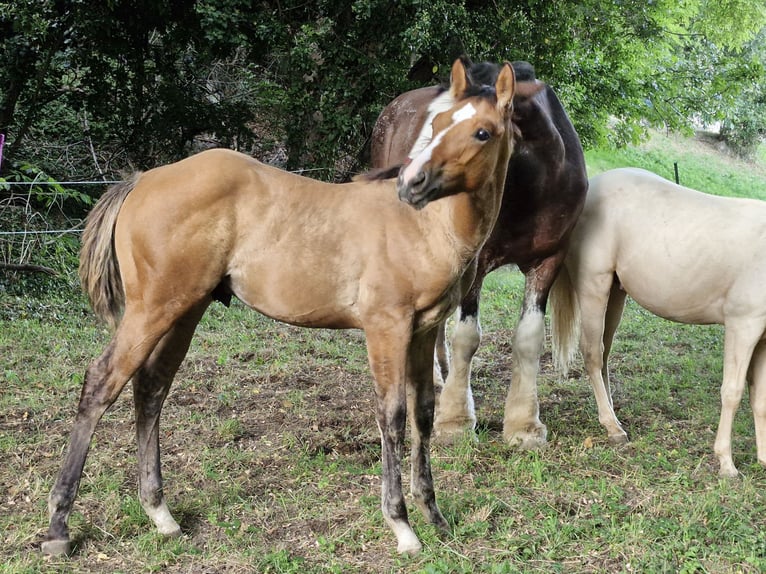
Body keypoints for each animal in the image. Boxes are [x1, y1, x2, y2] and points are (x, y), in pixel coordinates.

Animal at [42, 58, 520, 560]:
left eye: (482, 132)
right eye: (440, 122)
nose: (412, 185)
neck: (425, 227)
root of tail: (143, 179)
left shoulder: (425, 330)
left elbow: (422, 414)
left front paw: (434, 515)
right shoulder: (386, 327)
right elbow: (391, 415)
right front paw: (402, 526)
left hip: (183, 310)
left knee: (151, 389)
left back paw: (160, 514)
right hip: (150, 309)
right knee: (102, 383)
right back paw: (59, 527)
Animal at [372, 62, 588, 450]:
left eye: (483, 133)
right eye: (436, 124)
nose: (409, 179)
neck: (531, 185)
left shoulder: (548, 261)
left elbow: (529, 338)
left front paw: (524, 425)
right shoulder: (475, 262)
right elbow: (467, 337)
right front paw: (455, 421)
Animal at [552, 169, 766, 480]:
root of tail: (593, 185)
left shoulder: (762, 338)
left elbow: (760, 398)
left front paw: (763, 459)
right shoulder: (743, 325)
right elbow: (732, 392)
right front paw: (726, 463)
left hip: (616, 294)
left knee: (603, 354)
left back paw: (612, 416)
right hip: (593, 285)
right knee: (591, 352)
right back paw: (612, 428)